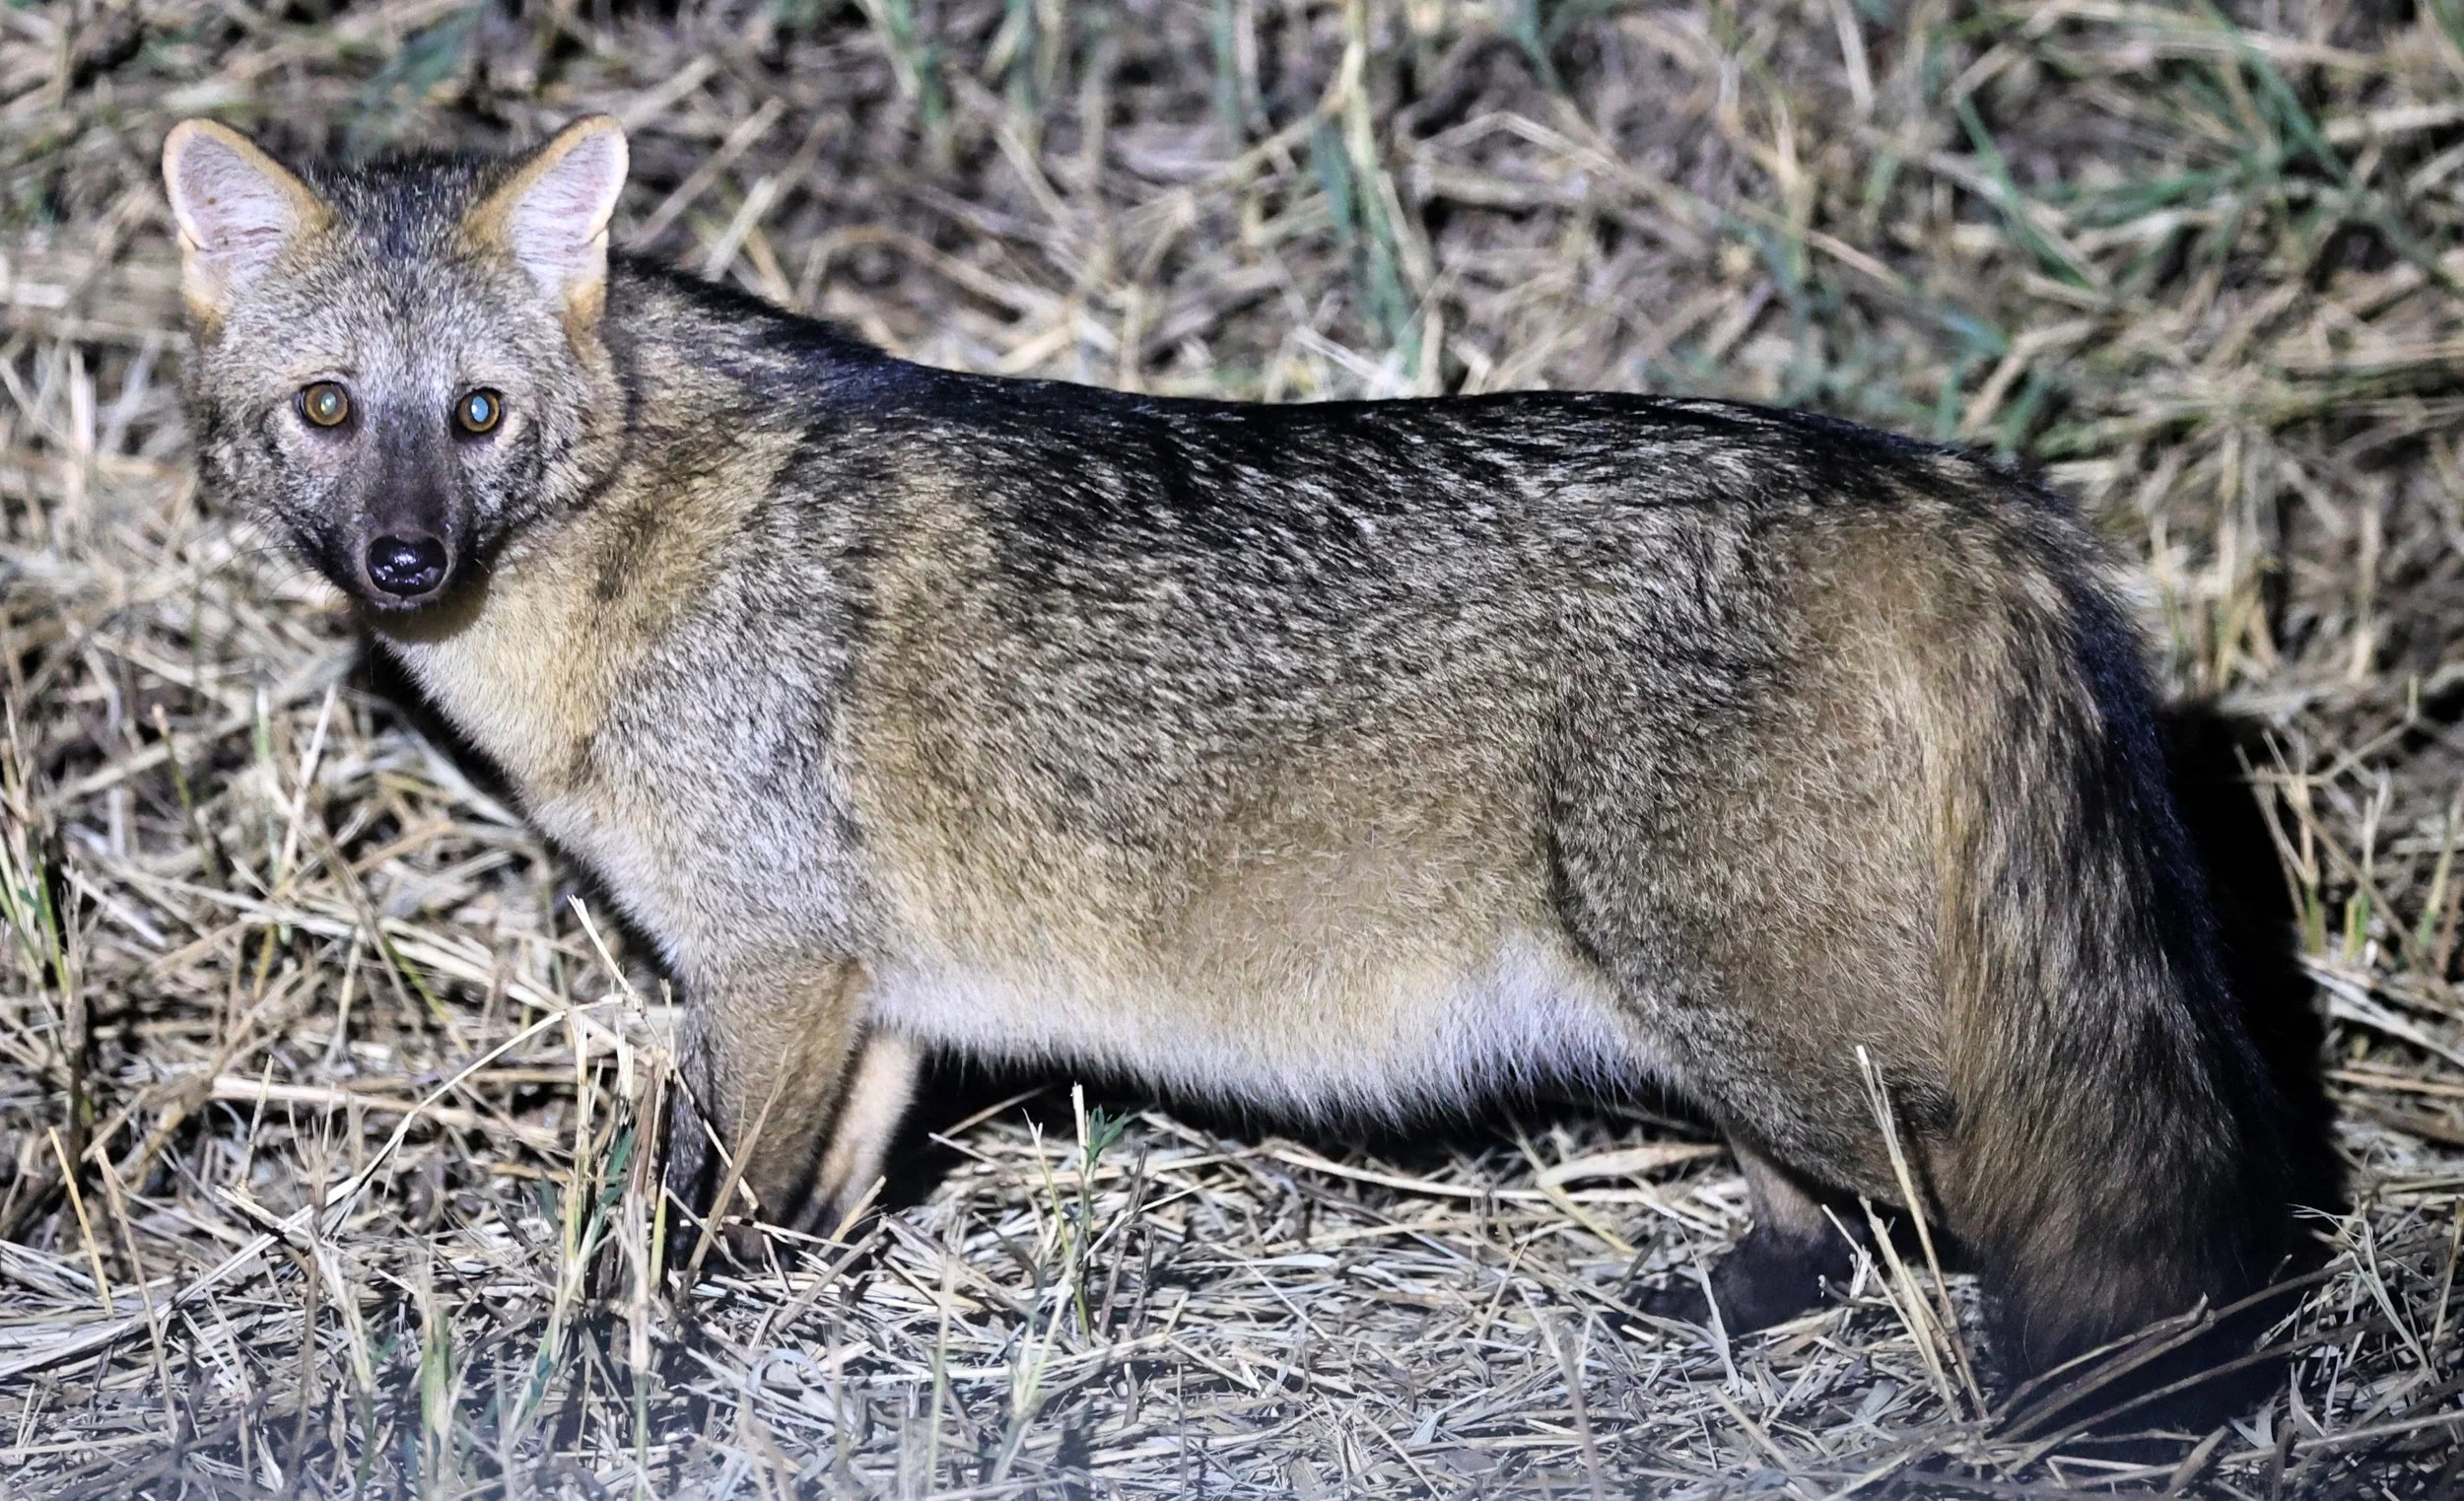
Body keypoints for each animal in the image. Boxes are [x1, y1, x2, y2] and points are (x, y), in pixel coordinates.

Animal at [163, 113, 2307, 1406]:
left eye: (476, 414)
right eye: (331, 409)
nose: (402, 561)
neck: (638, 554)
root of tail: (1926, 477)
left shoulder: (767, 971)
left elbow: (684, 1217)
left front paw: (626, 1364)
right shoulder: (866, 1003)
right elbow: (809, 1207)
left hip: (1785, 1025)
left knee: (2007, 1208)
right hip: (1732, 1025)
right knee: (1829, 1216)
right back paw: (1722, 1302)